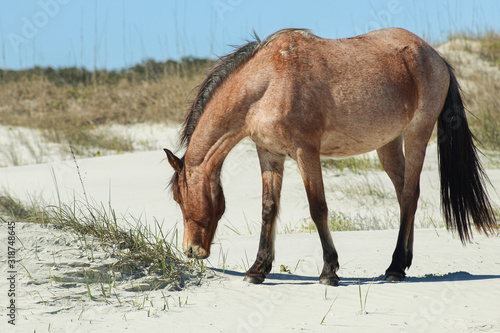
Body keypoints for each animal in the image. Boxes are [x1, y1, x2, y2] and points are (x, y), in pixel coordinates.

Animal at [165, 27, 496, 284]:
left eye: (179, 197)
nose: (191, 250)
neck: (268, 83)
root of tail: (436, 56)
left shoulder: (306, 152)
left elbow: (318, 208)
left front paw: (329, 271)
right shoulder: (269, 153)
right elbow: (269, 209)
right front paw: (258, 269)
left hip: (418, 134)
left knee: (410, 194)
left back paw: (394, 266)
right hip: (388, 144)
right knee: (405, 196)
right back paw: (402, 263)